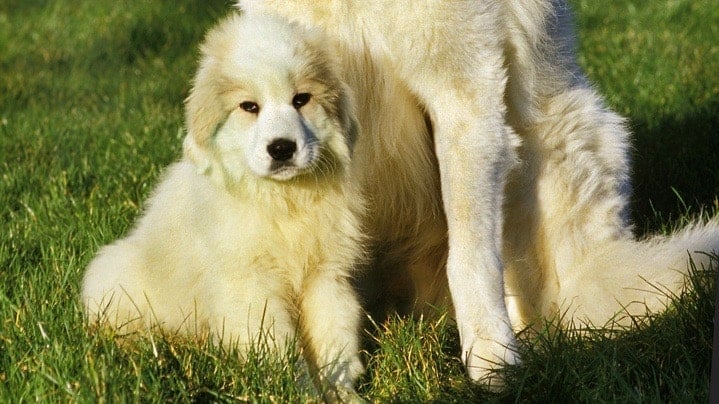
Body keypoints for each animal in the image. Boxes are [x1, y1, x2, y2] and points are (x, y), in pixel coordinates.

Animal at [81, 11, 366, 394]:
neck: (281, 200)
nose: (281, 148)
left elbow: (333, 341)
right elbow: (278, 348)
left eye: (301, 99)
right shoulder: (250, 285)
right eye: (249, 107)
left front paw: (340, 392)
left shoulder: (325, 276)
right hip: (114, 274)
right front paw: (298, 391)